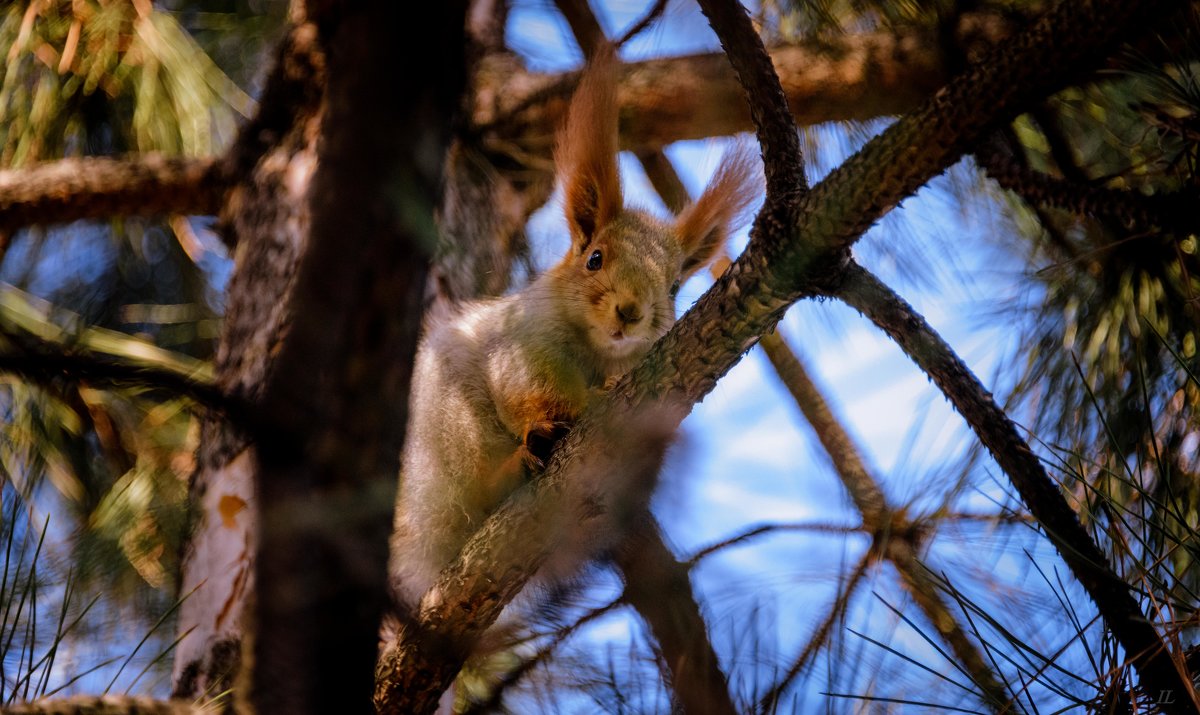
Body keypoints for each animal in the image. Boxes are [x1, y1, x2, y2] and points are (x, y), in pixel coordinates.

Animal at [388, 47, 753, 607]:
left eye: (674, 287)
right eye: (595, 258)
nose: (631, 311)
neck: (599, 352)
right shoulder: (523, 344)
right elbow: (532, 389)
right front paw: (574, 408)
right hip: (446, 434)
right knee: (472, 501)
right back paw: (516, 464)